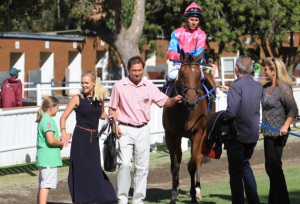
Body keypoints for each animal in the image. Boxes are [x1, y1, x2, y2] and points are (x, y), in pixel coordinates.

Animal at [163, 49, 217, 204]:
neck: (184, 110)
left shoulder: (197, 133)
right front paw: (173, 195)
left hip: (204, 132)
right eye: (182, 74)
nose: (192, 102)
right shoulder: (171, 134)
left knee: (198, 158)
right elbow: (175, 165)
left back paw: (198, 191)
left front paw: (193, 196)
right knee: (180, 158)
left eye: (198, 75)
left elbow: (192, 165)